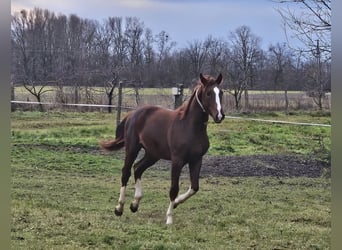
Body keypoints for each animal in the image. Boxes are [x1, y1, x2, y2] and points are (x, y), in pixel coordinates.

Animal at [100, 73, 226, 224]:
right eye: (208, 93)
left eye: (221, 92)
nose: (220, 116)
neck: (189, 127)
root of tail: (132, 114)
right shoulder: (177, 161)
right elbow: (174, 189)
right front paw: (169, 219)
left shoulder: (196, 160)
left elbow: (194, 187)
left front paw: (176, 203)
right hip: (132, 148)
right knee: (126, 172)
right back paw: (119, 208)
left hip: (153, 154)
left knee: (137, 168)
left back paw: (134, 204)